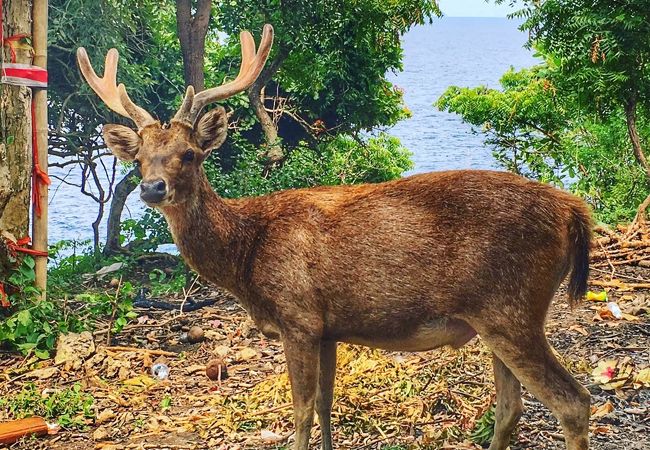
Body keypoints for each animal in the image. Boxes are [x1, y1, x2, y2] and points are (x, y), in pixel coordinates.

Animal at [77, 25, 592, 450]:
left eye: (189, 153)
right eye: (140, 156)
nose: (151, 187)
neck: (246, 257)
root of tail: (573, 211)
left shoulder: (299, 315)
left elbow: (302, 411)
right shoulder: (328, 328)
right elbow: (327, 403)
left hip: (511, 306)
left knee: (573, 401)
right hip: (498, 315)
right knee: (511, 408)